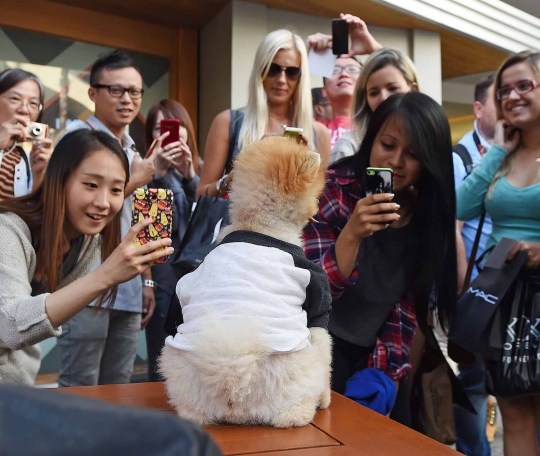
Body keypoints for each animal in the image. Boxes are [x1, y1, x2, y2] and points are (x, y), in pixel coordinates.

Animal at [158, 135, 332, 428]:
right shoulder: (317, 292)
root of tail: (233, 375)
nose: (317, 209)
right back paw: (303, 411)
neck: (258, 226)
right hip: (299, 367)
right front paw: (326, 398)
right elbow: (325, 342)